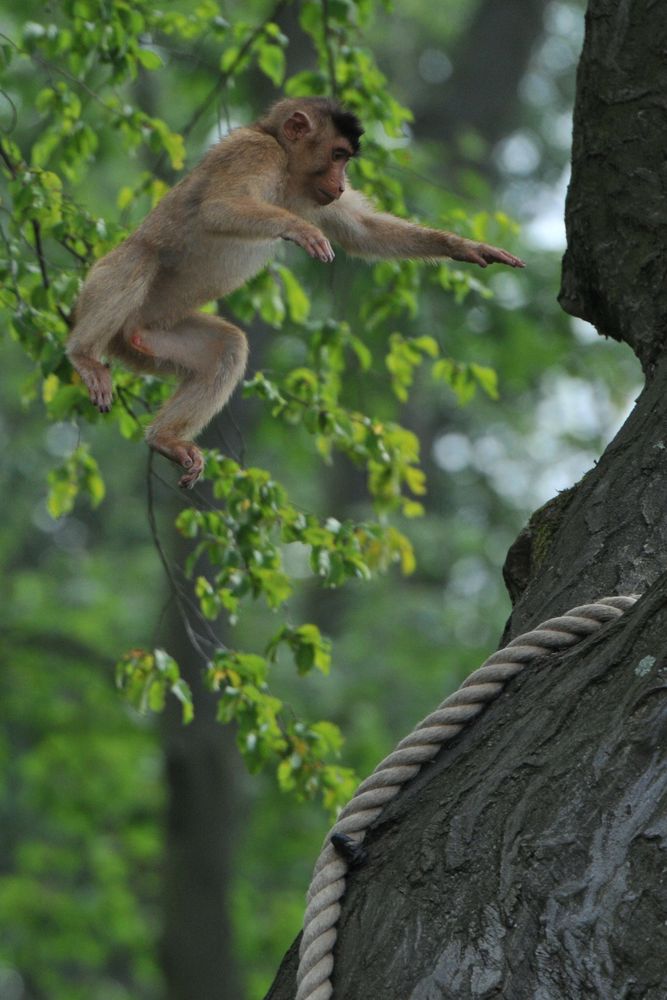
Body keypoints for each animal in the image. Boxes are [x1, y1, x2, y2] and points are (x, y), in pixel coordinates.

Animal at [68, 95, 528, 486]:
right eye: (338, 155)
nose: (341, 184)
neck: (286, 165)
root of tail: (124, 335)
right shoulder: (256, 153)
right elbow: (219, 207)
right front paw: (300, 230)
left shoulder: (313, 195)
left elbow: (364, 232)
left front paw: (464, 247)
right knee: (140, 258)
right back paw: (83, 356)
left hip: (149, 338)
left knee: (227, 348)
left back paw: (165, 439)